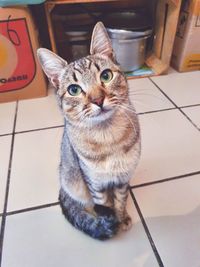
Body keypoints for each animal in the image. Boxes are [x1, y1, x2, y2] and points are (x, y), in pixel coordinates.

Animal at [37, 22, 141, 241]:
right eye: (74, 90)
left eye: (106, 76)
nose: (98, 100)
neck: (108, 137)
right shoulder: (95, 182)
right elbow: (104, 204)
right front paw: (110, 222)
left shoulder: (122, 179)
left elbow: (120, 200)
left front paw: (121, 217)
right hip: (73, 182)